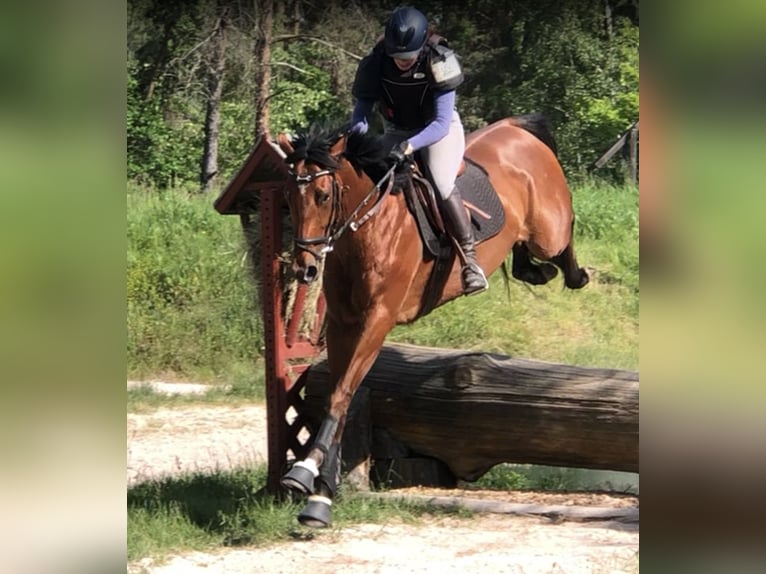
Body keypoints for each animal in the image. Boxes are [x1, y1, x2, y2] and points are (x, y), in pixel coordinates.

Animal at [274, 115, 588, 528]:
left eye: (323, 195)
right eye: (289, 198)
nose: (305, 269)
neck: (368, 226)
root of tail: (515, 127)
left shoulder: (378, 320)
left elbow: (342, 393)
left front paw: (305, 472)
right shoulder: (343, 323)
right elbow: (337, 399)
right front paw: (319, 493)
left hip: (548, 230)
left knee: (564, 235)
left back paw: (575, 275)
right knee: (526, 258)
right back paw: (536, 272)